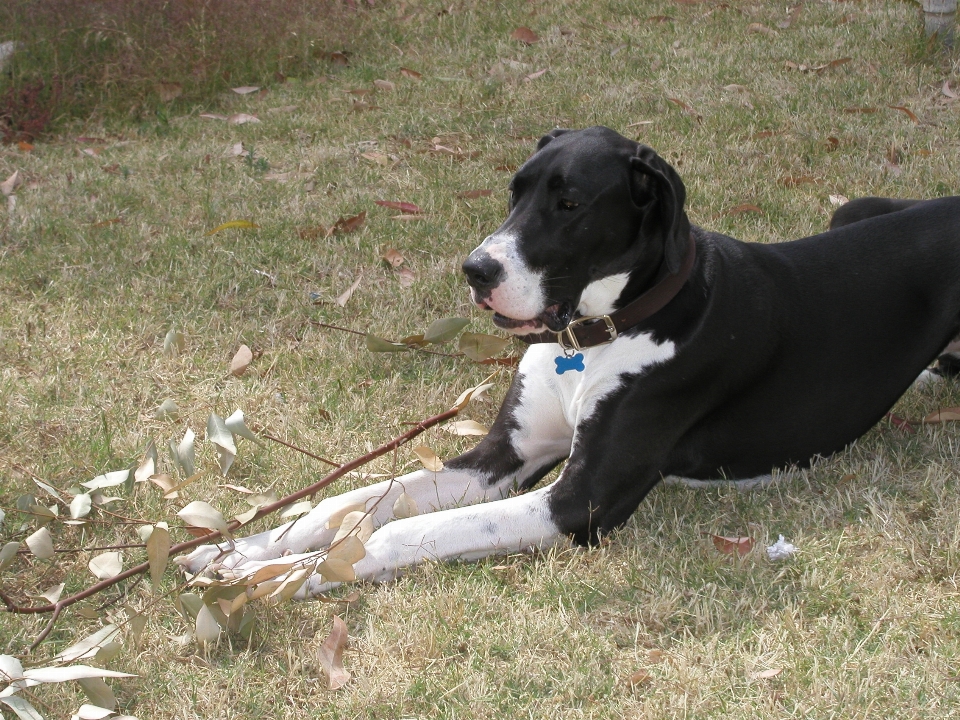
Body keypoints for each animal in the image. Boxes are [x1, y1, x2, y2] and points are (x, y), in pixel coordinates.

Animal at [184, 126, 960, 592]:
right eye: (515, 190)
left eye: (570, 203)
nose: (475, 270)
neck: (595, 335)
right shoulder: (503, 453)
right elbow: (359, 498)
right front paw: (245, 550)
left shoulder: (577, 501)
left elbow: (402, 531)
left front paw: (277, 577)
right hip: (853, 207)